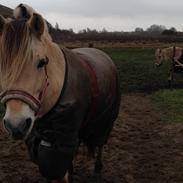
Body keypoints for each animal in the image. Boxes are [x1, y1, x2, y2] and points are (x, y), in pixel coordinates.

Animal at [0, 3, 120, 182]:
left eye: (42, 62)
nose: (16, 125)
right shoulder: (41, 141)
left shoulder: (62, 139)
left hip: (106, 120)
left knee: (100, 144)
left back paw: (97, 169)